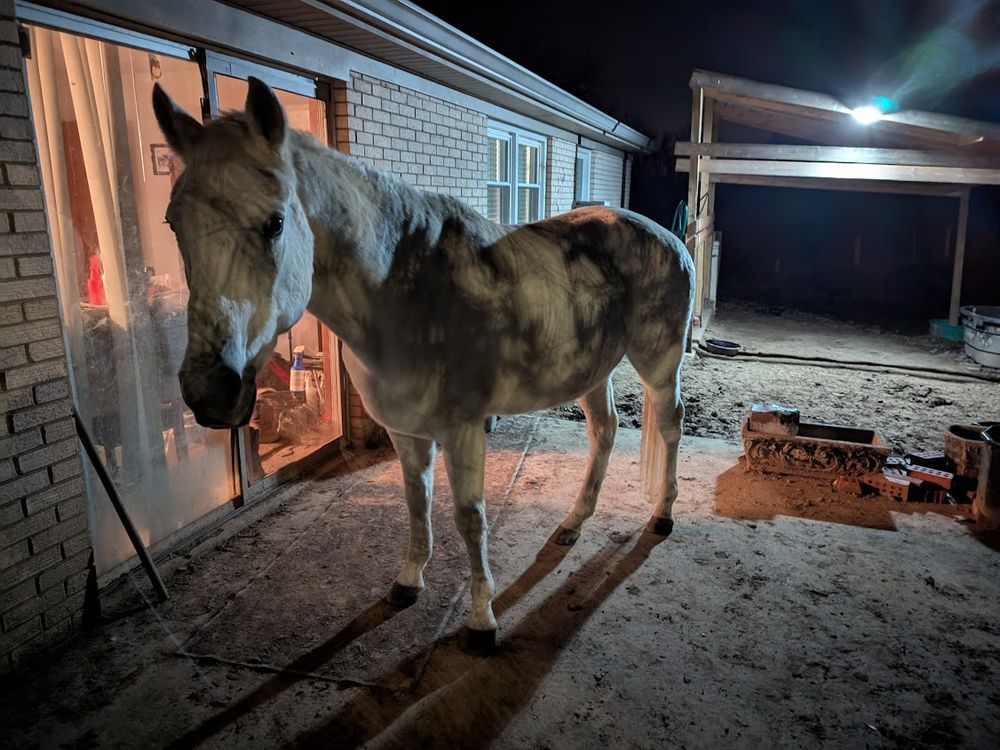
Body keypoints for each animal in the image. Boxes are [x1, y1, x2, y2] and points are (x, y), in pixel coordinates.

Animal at [152, 77, 694, 652]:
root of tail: (671, 239)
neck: (404, 293)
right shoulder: (406, 431)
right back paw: (573, 522)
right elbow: (416, 503)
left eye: (275, 222)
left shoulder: (463, 430)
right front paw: (408, 582)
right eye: (173, 221)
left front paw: (481, 620)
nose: (210, 391)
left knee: (670, 424)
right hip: (593, 371)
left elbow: (469, 518)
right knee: (605, 431)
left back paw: (663, 514)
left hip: (658, 367)